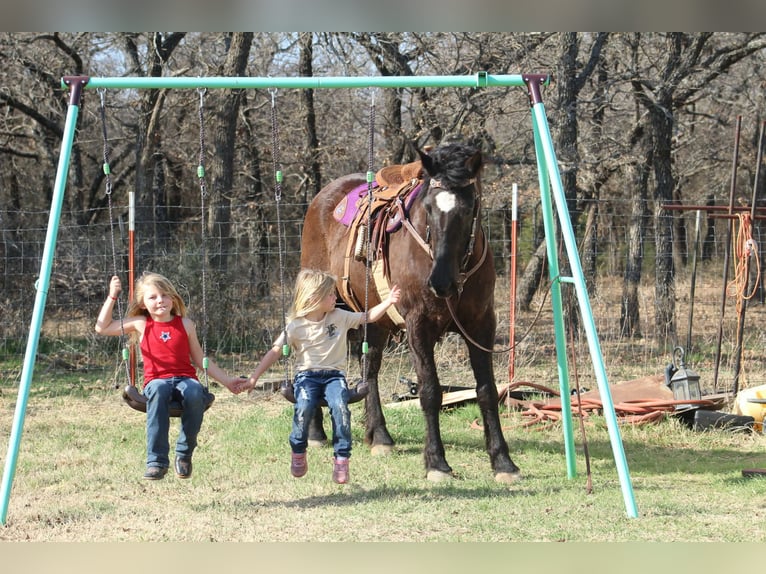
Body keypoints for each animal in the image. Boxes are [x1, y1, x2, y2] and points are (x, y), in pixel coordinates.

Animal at [299, 141, 520, 483]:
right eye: (427, 207)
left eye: (469, 207)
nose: (441, 282)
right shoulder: (418, 324)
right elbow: (429, 391)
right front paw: (437, 462)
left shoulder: (481, 325)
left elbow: (487, 390)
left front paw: (502, 462)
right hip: (324, 305)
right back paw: (315, 433)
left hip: (374, 320)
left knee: (370, 368)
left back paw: (379, 435)